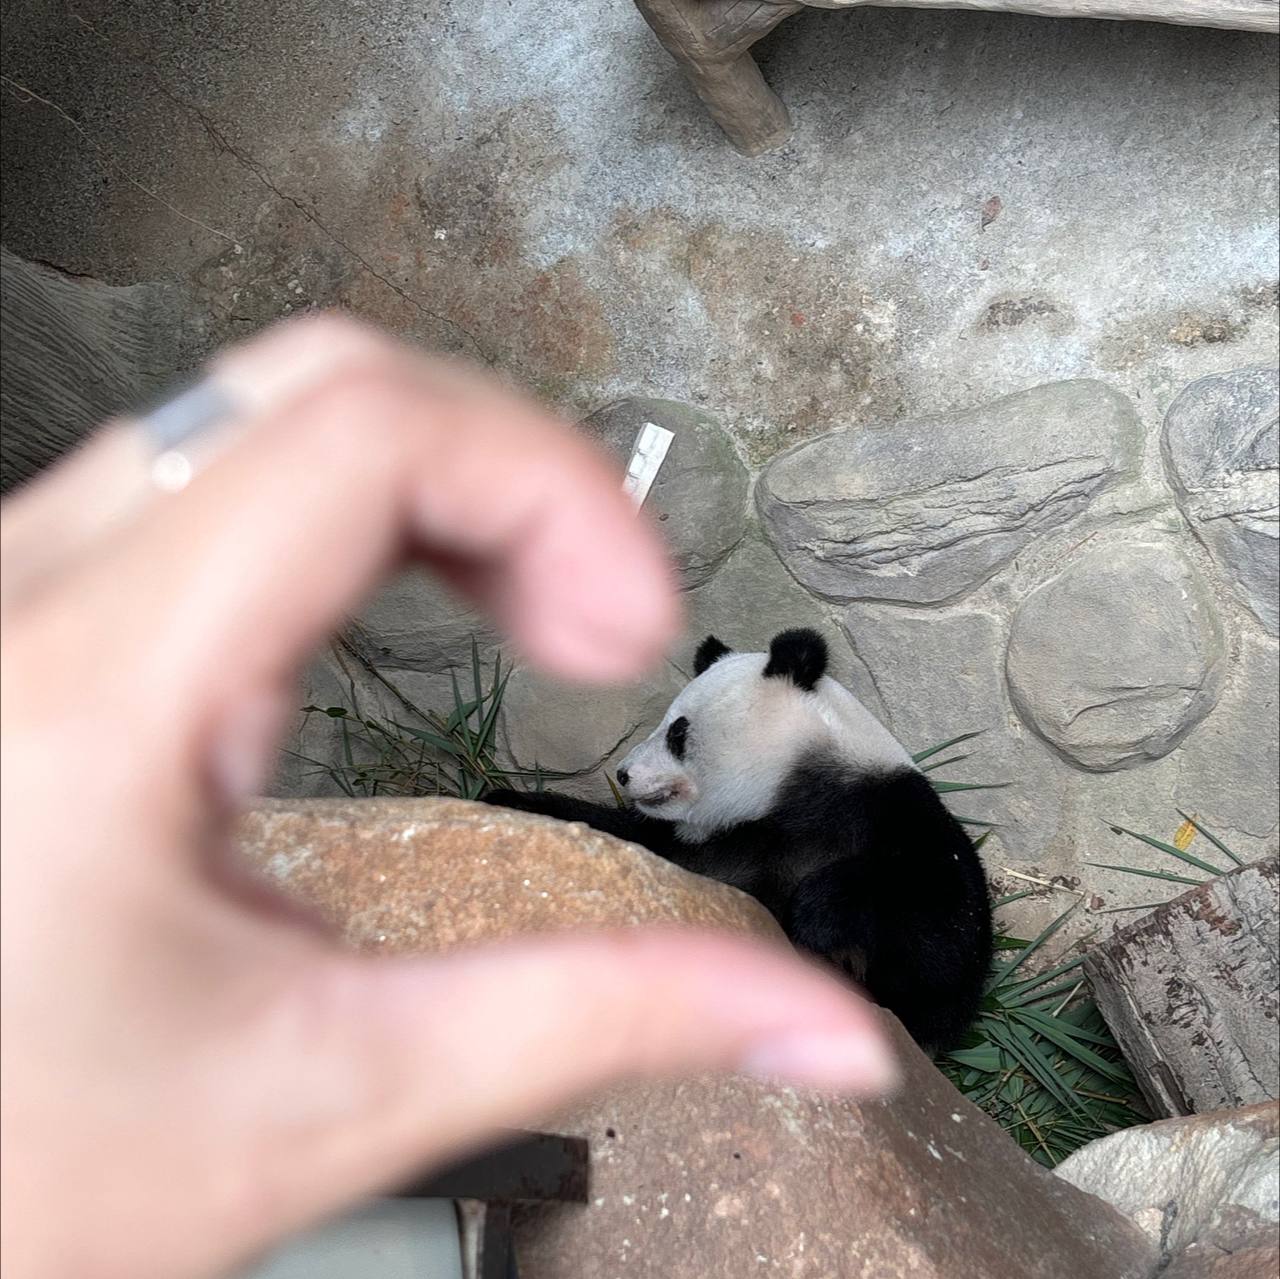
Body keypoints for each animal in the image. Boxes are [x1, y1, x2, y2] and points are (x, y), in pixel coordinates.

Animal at [486, 627, 993, 1052]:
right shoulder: (706, 844)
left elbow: (942, 951)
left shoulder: (889, 814)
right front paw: (504, 803)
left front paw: (815, 915)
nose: (624, 773)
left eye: (678, 731)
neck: (783, 796)